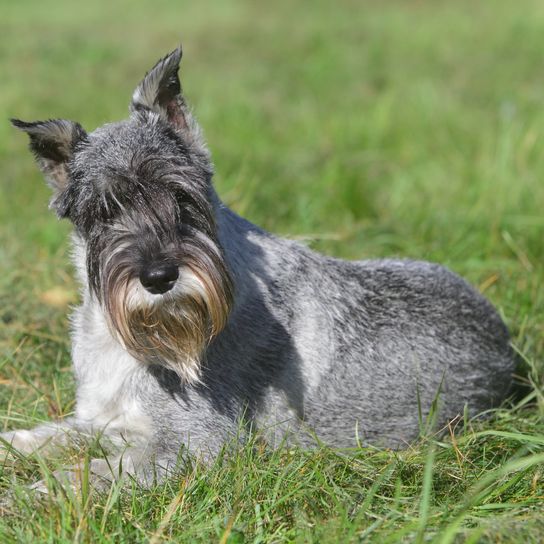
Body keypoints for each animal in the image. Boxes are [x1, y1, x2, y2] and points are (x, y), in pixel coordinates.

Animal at [2, 46, 516, 488]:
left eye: (182, 197)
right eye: (104, 212)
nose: (159, 277)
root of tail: (507, 346)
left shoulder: (196, 445)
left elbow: (86, 475)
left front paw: (26, 499)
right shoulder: (101, 420)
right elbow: (52, 435)